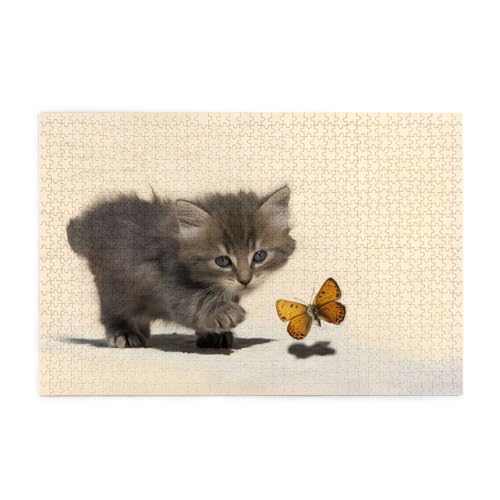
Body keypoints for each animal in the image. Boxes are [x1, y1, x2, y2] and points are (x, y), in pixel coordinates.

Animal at [66, 185, 296, 349]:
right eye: (222, 261)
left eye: (259, 256)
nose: (245, 280)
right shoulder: (165, 282)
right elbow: (195, 303)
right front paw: (223, 312)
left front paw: (214, 334)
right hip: (114, 287)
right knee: (113, 312)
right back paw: (125, 332)